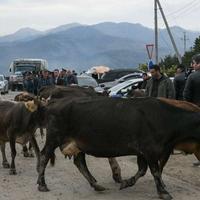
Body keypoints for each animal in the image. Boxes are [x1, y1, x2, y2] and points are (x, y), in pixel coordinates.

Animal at [37, 96, 200, 198]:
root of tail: (54, 102)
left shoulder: (144, 152)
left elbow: (143, 170)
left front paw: (127, 182)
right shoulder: (150, 150)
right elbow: (155, 171)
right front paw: (163, 192)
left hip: (78, 142)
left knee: (79, 162)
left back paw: (96, 185)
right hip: (54, 137)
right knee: (44, 156)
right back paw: (42, 184)